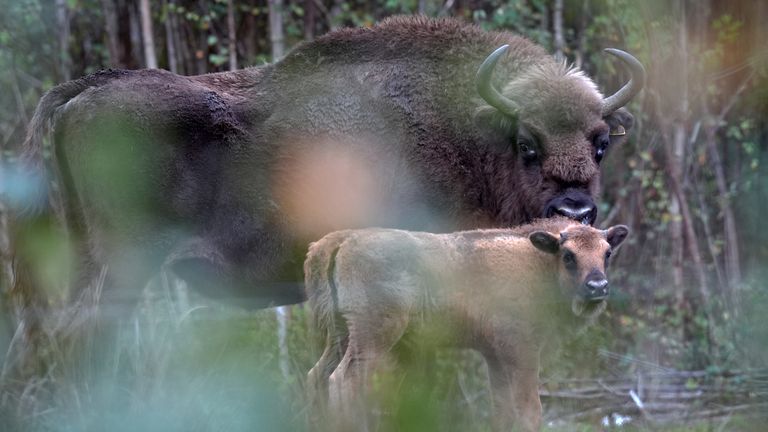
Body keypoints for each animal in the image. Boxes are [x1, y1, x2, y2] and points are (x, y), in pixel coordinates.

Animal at [18, 16, 640, 310]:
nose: (574, 210)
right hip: (122, 268)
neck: (468, 131)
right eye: (527, 144)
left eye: (601, 142)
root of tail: (84, 90)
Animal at [306, 218, 632, 430]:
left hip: (340, 334)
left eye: (607, 253)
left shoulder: (495, 356)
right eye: (568, 255)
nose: (598, 286)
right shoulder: (522, 351)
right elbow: (529, 409)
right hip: (373, 335)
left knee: (317, 375)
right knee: (344, 382)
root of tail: (340, 240)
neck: (540, 264)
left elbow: (502, 409)